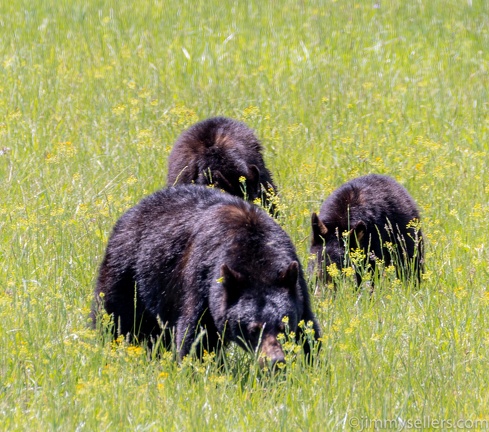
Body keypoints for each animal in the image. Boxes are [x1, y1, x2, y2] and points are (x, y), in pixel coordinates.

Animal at [93, 186, 318, 364]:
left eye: (283, 326)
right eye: (253, 329)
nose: (274, 361)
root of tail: (132, 211)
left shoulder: (297, 284)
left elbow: (309, 327)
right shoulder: (202, 278)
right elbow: (196, 333)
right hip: (127, 269)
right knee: (113, 312)